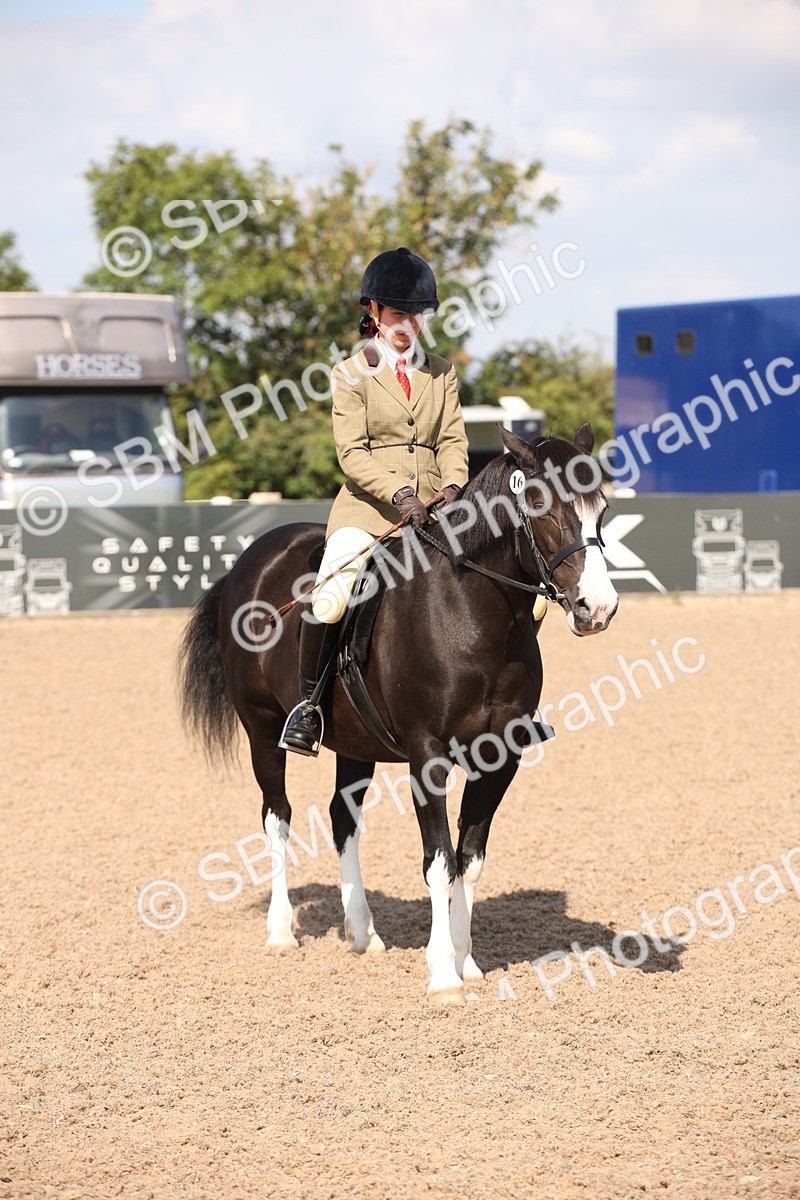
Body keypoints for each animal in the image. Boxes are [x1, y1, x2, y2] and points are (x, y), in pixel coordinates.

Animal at [177, 423, 619, 1004]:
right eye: (542, 506)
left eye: (601, 508)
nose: (598, 608)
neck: (475, 613)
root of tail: (252, 559)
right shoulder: (428, 757)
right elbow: (439, 861)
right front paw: (443, 973)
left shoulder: (499, 759)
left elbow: (470, 860)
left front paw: (467, 961)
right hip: (261, 729)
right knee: (277, 817)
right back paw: (280, 930)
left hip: (354, 743)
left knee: (343, 821)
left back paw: (362, 932)